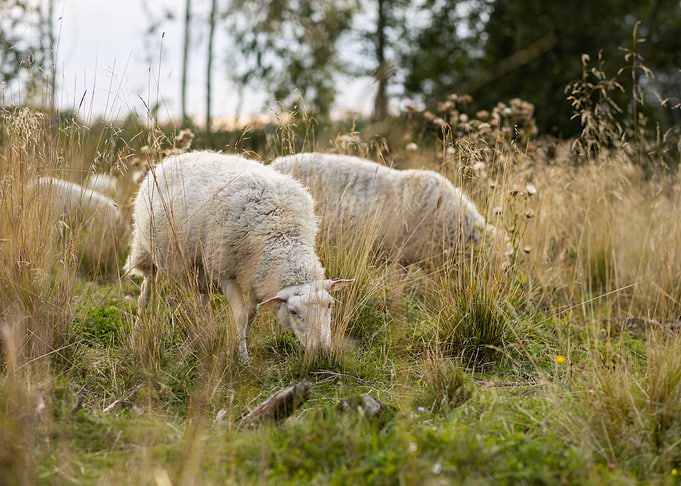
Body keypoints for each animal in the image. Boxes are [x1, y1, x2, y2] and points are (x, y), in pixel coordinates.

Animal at [125, 151, 352, 362]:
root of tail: (173, 158)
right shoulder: (225, 272)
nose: (322, 354)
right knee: (145, 295)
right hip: (148, 251)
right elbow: (241, 317)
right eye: (294, 312)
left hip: (200, 266)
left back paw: (204, 335)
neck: (281, 234)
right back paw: (136, 336)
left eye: (330, 305)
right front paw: (243, 358)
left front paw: (240, 345)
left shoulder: (254, 275)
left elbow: (250, 316)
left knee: (202, 299)